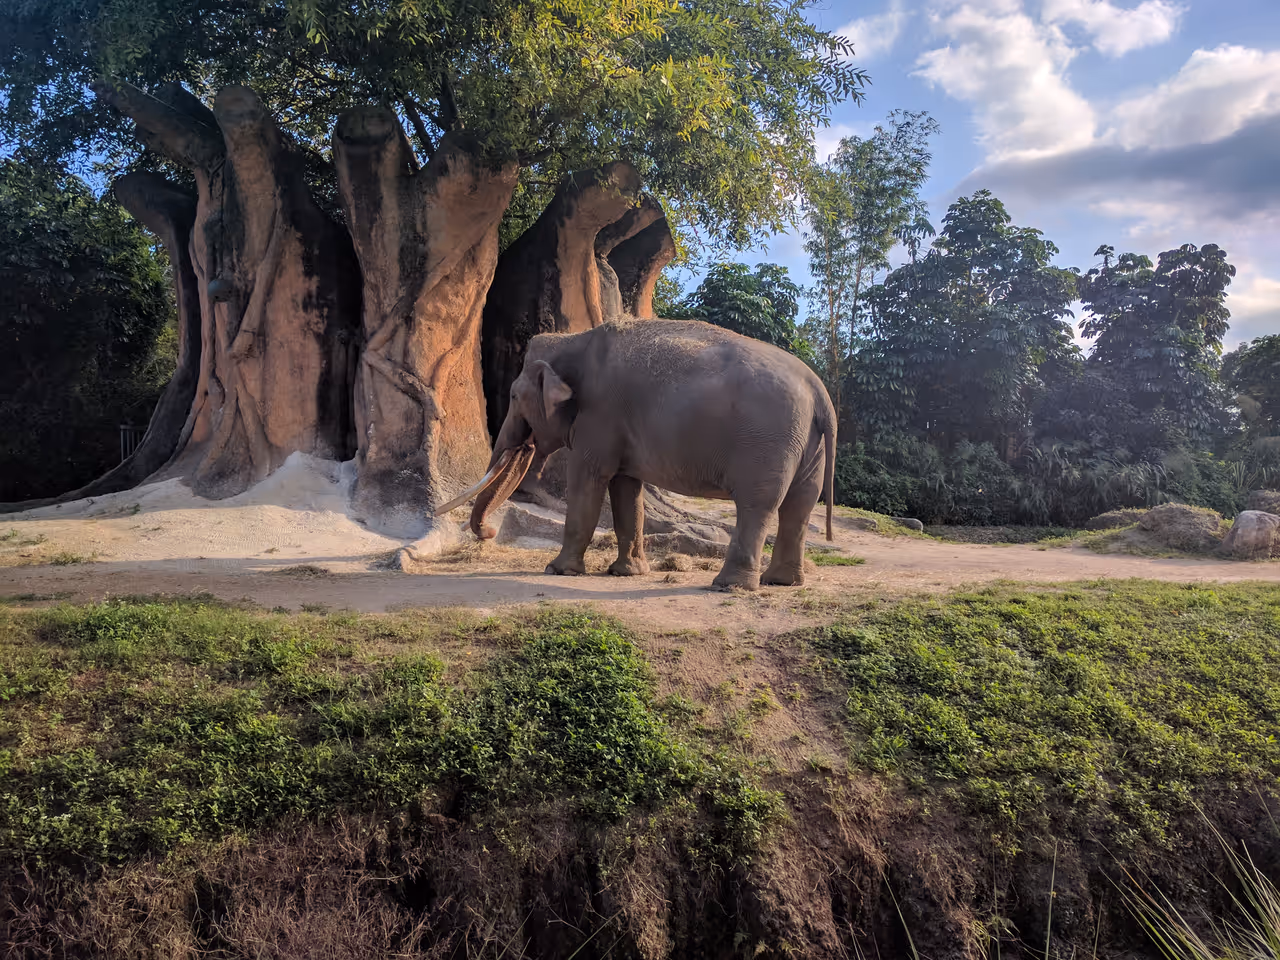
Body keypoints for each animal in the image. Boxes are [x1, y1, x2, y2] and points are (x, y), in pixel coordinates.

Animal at [436, 319, 836, 591]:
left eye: (514, 396)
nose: (487, 532)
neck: (575, 339)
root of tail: (820, 392)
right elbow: (627, 489)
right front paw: (625, 573)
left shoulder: (600, 415)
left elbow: (588, 480)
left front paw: (557, 570)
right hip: (806, 446)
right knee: (799, 507)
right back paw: (781, 582)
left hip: (767, 443)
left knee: (758, 505)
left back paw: (729, 586)